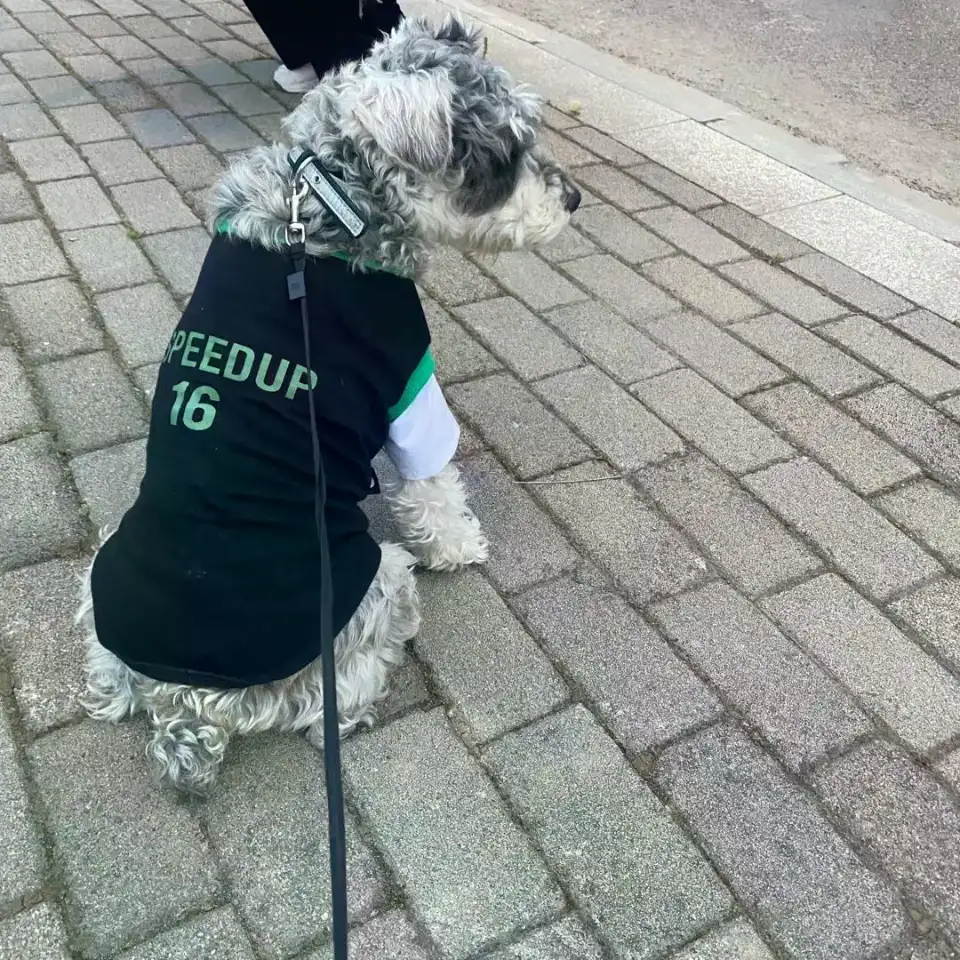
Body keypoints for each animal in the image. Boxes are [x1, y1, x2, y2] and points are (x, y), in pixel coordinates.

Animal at [75, 16, 576, 796]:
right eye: (502, 152)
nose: (574, 199)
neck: (326, 198)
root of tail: (188, 704)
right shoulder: (412, 391)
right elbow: (434, 489)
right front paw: (460, 546)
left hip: (100, 578)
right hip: (378, 580)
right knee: (329, 703)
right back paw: (361, 702)